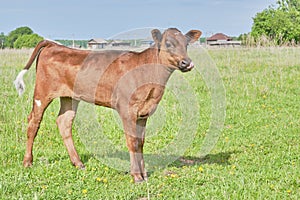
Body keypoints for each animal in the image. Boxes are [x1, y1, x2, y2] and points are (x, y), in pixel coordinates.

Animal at [14, 28, 202, 183]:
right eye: (168, 44)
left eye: (186, 44)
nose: (187, 63)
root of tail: (54, 45)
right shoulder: (127, 110)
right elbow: (132, 142)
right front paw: (137, 177)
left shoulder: (144, 112)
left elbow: (140, 142)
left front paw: (145, 174)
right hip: (42, 93)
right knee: (33, 123)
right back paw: (27, 162)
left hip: (69, 97)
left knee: (64, 122)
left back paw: (78, 163)